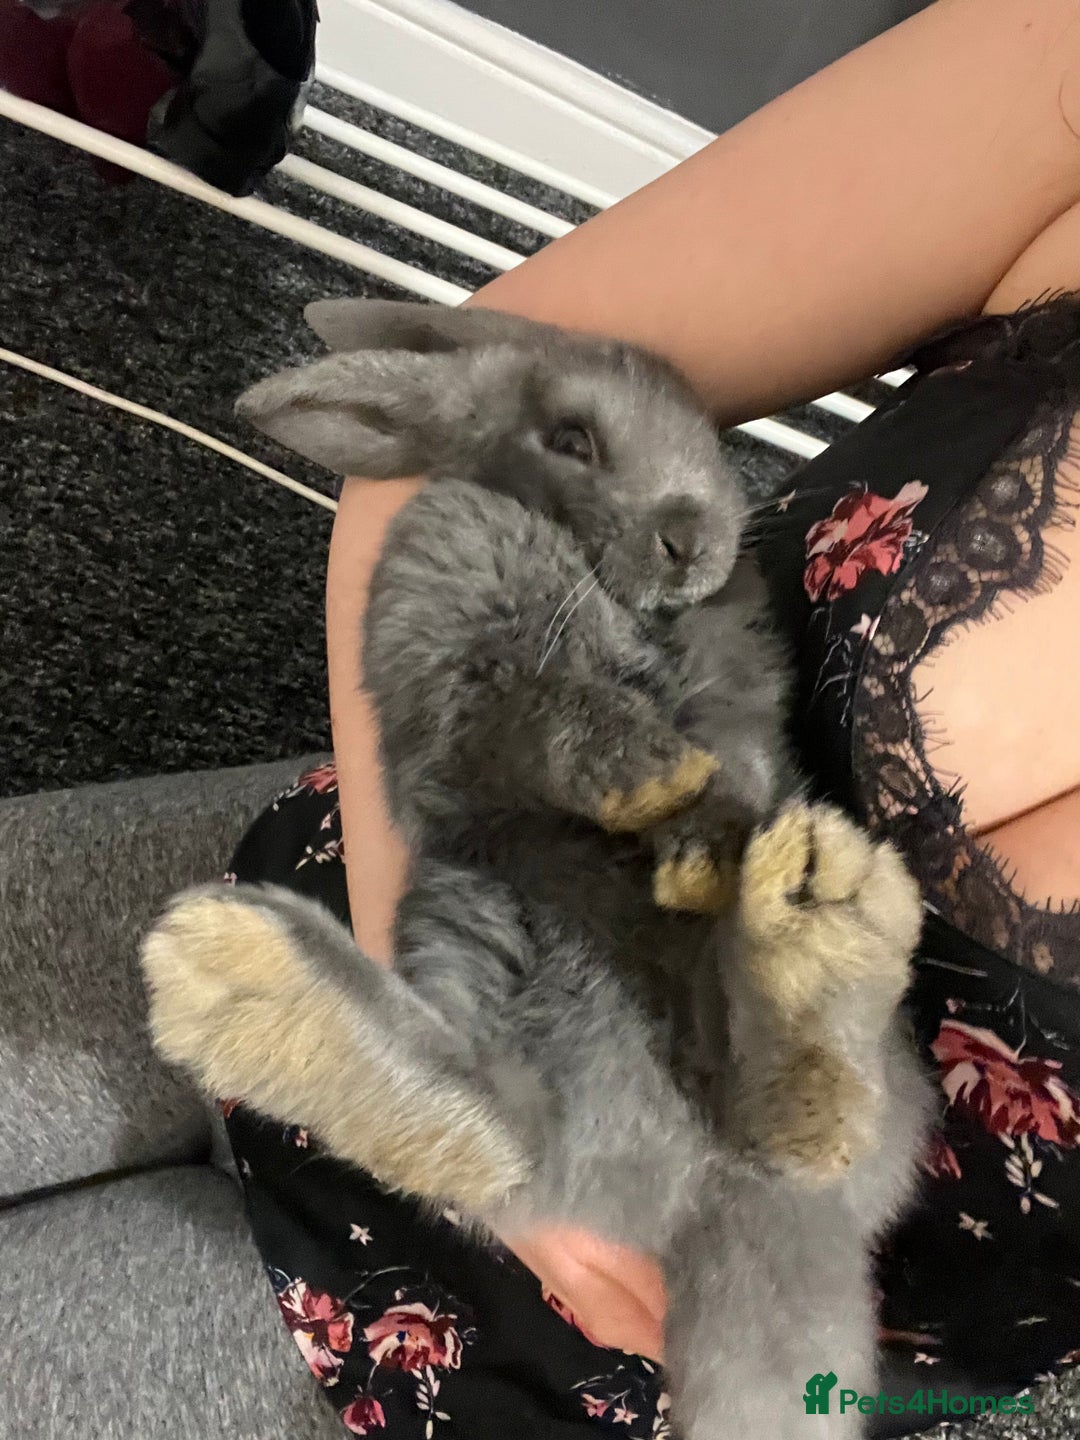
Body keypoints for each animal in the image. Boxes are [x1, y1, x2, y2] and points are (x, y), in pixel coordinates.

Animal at [141, 300, 932, 1439]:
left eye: (703, 418)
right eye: (572, 439)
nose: (692, 537)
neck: (595, 575)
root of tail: (707, 1192)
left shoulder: (737, 702)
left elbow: (736, 761)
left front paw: (705, 842)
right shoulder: (461, 697)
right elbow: (543, 721)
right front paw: (652, 781)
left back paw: (806, 938)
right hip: (477, 920)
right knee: (508, 1137)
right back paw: (251, 989)